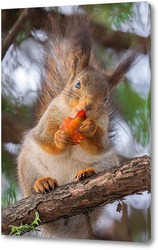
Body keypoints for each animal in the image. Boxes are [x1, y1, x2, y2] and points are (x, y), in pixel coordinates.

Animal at [17, 15, 146, 238]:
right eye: (77, 84)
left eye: (106, 98)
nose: (88, 105)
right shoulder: (49, 117)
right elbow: (45, 137)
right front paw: (59, 138)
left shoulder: (103, 131)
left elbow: (99, 144)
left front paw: (90, 129)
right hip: (28, 164)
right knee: (33, 181)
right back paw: (42, 183)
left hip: (108, 164)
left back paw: (87, 173)